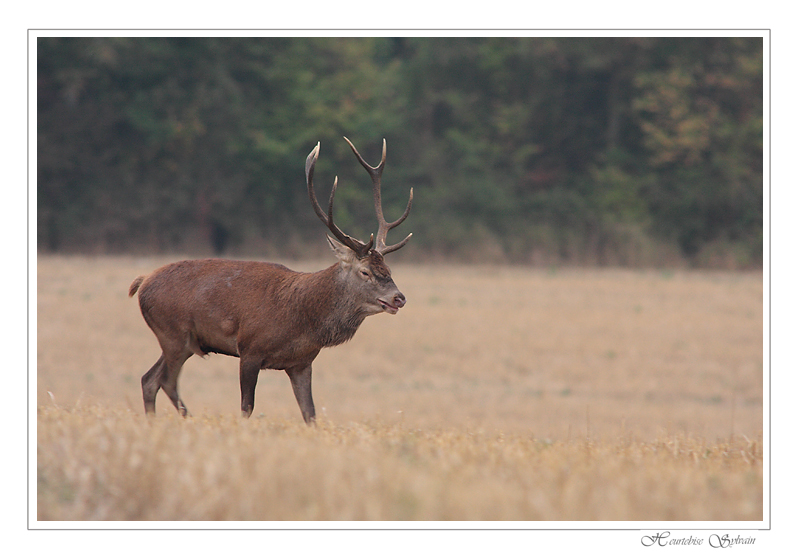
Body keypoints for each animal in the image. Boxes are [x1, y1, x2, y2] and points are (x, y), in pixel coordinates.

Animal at [129, 139, 412, 424]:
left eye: (387, 268)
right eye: (365, 272)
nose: (399, 297)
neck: (303, 319)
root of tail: (143, 282)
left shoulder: (302, 362)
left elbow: (310, 414)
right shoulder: (249, 350)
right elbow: (247, 407)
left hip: (181, 341)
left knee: (149, 379)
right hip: (172, 333)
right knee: (166, 380)